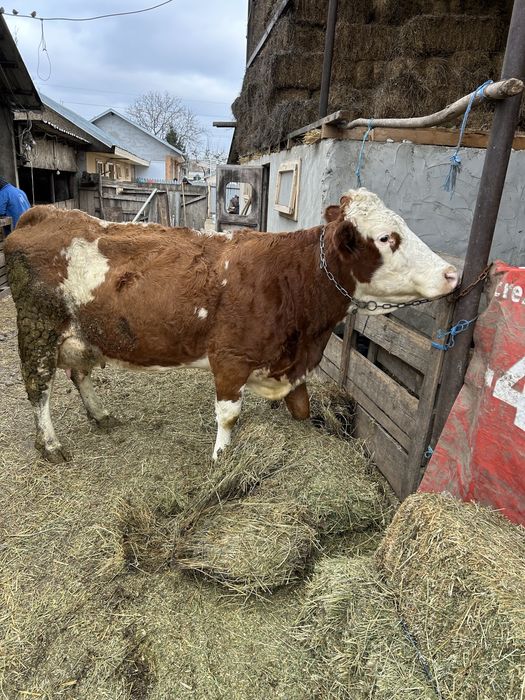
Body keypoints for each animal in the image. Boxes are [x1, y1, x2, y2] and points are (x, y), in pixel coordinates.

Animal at [5, 188, 458, 464]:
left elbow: (302, 408)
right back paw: (50, 444)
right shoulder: (230, 358)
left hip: (84, 334)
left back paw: (100, 415)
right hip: (38, 328)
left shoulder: (291, 365)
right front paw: (222, 457)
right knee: (38, 389)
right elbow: (228, 415)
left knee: (79, 374)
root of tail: (44, 213)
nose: (452, 273)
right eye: (385, 238)